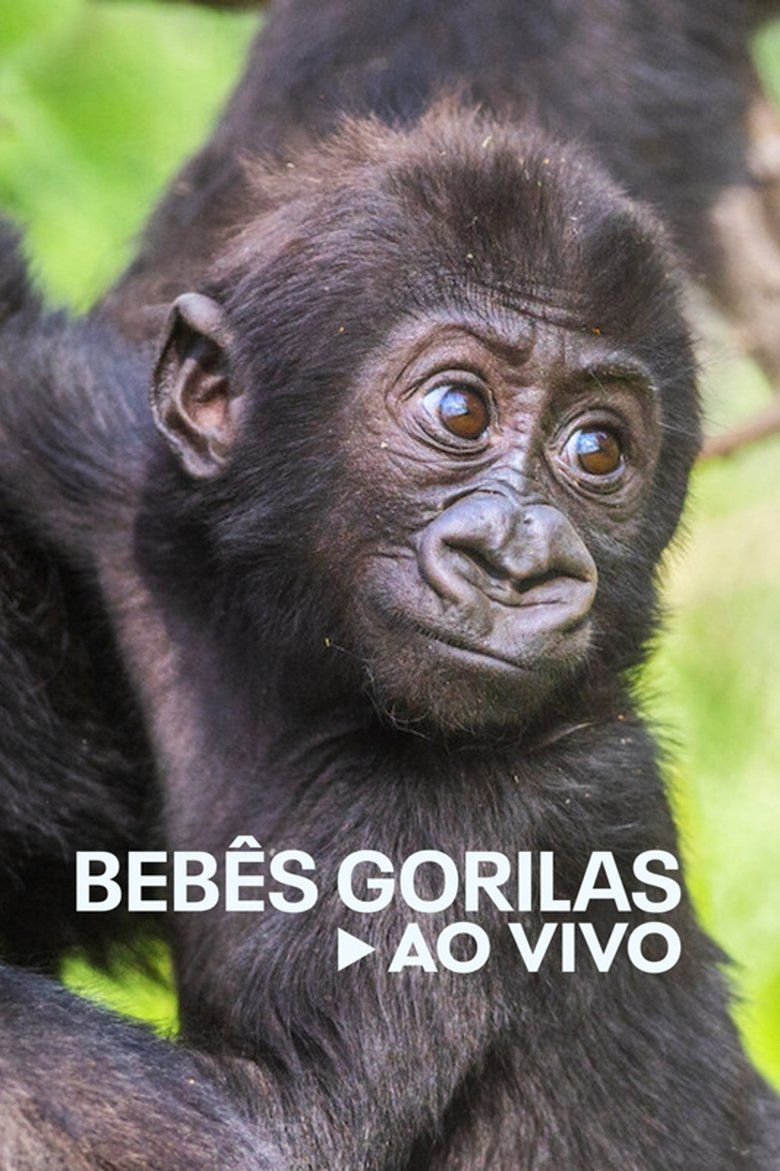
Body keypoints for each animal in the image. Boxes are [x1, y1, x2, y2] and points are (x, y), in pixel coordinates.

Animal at [0, 94, 777, 1167]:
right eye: (459, 407)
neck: (298, 678)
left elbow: (275, 1128)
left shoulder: (505, 821)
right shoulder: (108, 469)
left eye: (597, 449)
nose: (517, 559)